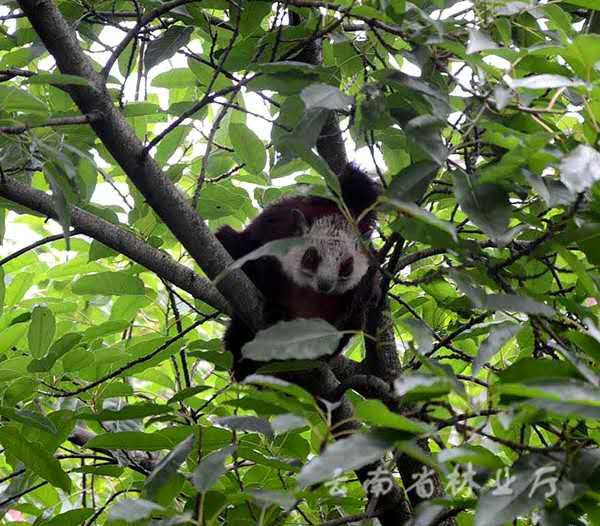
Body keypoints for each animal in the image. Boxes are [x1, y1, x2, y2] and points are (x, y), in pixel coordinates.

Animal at [218, 164, 382, 380]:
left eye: (347, 266)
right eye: (311, 257)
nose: (325, 284)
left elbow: (364, 298)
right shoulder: (274, 224)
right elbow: (244, 252)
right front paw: (274, 306)